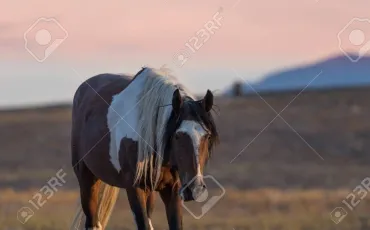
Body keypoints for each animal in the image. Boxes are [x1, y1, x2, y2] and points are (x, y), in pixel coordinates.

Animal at [70, 67, 218, 229]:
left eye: (207, 136)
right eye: (177, 135)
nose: (195, 189)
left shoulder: (172, 188)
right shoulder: (134, 188)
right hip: (86, 179)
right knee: (92, 222)